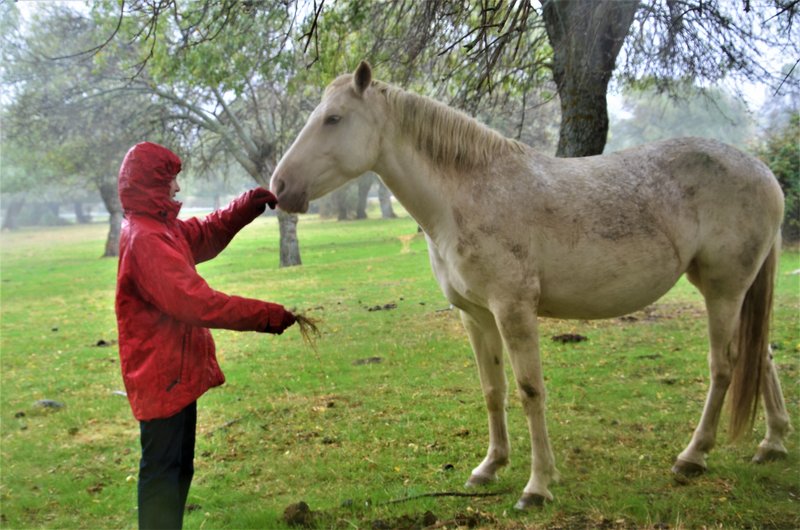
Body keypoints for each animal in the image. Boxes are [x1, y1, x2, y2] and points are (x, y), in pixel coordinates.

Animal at [268, 60, 788, 508]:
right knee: (760, 354)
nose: (279, 188)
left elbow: (529, 390)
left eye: (333, 119)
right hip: (731, 292)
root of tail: (764, 173)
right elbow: (492, 389)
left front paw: (537, 486)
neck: (467, 195)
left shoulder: (513, 310)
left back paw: (693, 456)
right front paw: (489, 467)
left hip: (723, 291)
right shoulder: (476, 317)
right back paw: (773, 443)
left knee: (725, 366)